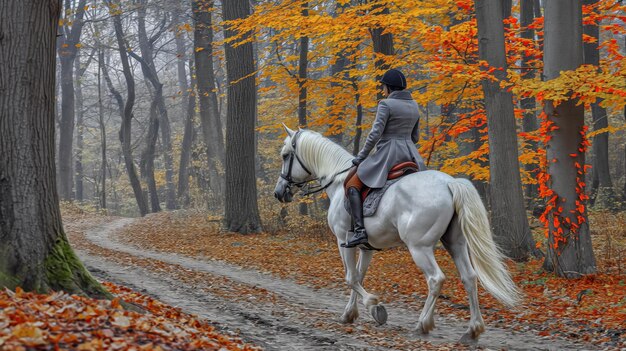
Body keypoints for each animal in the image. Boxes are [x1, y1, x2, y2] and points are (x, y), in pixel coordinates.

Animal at [274, 128, 520, 342]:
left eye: (285, 155)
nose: (279, 192)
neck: (338, 180)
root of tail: (450, 183)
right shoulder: (365, 247)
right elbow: (359, 276)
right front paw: (350, 313)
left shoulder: (343, 241)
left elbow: (350, 278)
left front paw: (374, 306)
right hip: (455, 243)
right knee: (469, 277)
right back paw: (472, 330)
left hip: (419, 247)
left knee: (435, 279)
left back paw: (422, 324)